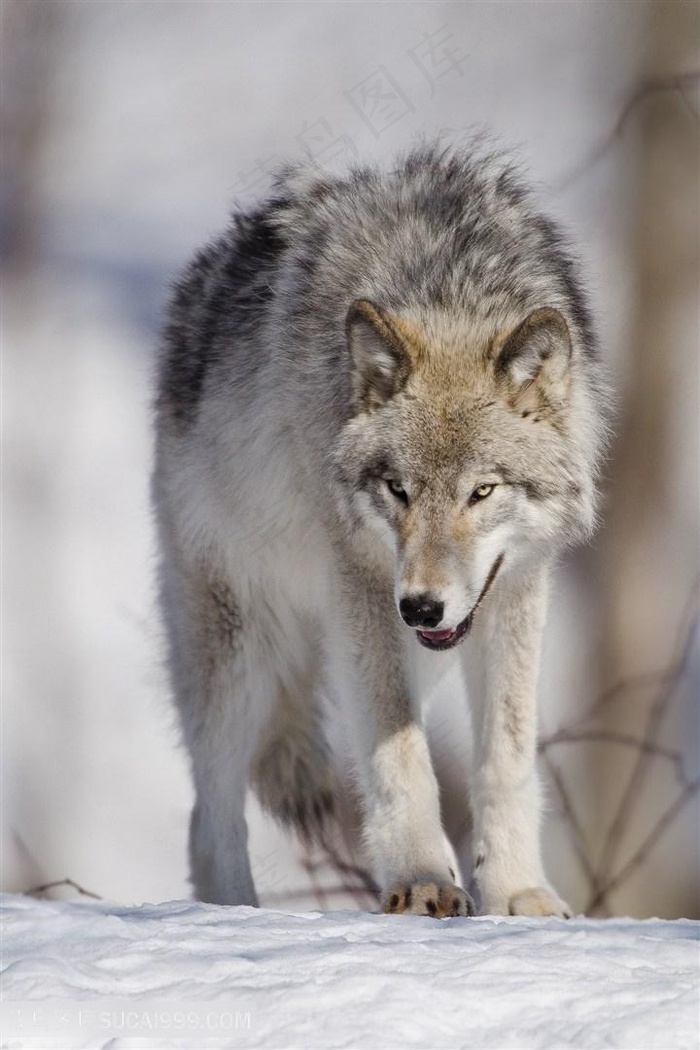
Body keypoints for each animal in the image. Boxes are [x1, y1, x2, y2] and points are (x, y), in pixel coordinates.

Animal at [153, 141, 608, 919]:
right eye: (398, 490)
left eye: (481, 492)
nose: (420, 606)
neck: (448, 291)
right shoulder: (362, 586)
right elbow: (401, 756)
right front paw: (423, 877)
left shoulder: (519, 591)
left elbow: (505, 758)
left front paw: (517, 890)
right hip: (239, 643)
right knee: (207, 816)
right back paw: (235, 915)